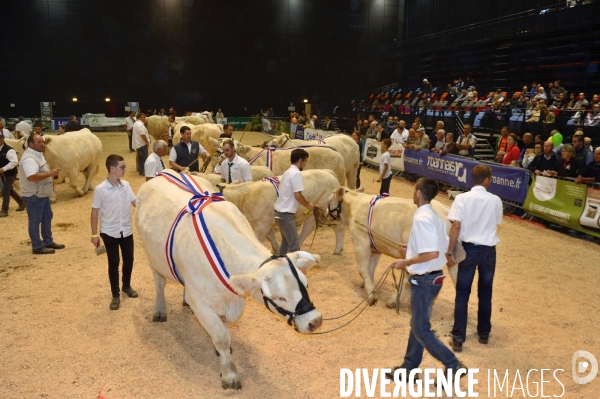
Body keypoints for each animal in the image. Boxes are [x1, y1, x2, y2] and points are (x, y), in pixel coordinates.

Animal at [136, 173, 324, 390]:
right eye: (280, 297)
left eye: (306, 285)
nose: (315, 321)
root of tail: (159, 175)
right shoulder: (202, 303)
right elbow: (221, 336)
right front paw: (229, 374)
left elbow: (224, 327)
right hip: (152, 257)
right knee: (159, 283)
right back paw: (160, 310)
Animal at [326, 189, 466, 308]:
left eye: (329, 200)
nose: (325, 213)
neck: (354, 206)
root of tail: (445, 211)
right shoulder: (375, 249)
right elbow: (371, 268)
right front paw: (367, 285)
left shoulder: (361, 243)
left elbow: (363, 269)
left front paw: (371, 295)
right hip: (451, 258)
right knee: (458, 279)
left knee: (408, 281)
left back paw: (392, 301)